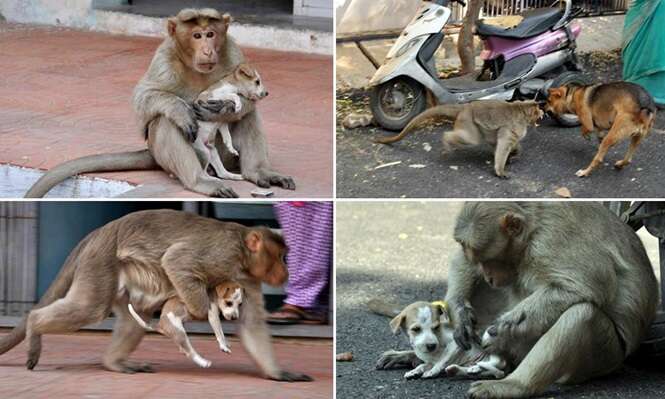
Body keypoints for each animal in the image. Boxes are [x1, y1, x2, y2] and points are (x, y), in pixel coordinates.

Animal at [0, 209, 312, 382]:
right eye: (281, 257)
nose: (286, 271)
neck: (242, 256)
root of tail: (99, 233)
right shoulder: (222, 254)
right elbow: (176, 260)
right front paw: (200, 310)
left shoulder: (248, 280)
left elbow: (251, 324)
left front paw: (277, 373)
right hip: (101, 262)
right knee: (90, 307)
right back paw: (34, 324)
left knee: (132, 316)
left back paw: (113, 362)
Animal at [24, 10, 294, 200]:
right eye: (197, 35)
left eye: (211, 34)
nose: (207, 51)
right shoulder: (165, 58)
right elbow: (146, 97)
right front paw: (191, 110)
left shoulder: (234, 51)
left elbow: (241, 111)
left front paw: (230, 110)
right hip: (181, 153)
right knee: (165, 122)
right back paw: (201, 180)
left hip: (220, 156)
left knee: (247, 118)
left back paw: (255, 172)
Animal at [370, 101, 544, 179]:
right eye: (538, 110)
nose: (542, 112)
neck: (521, 109)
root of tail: (465, 107)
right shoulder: (514, 126)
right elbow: (503, 145)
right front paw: (500, 170)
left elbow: (499, 142)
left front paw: (515, 154)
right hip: (468, 121)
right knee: (471, 140)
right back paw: (446, 140)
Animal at [376, 205, 656, 398]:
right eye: (478, 257)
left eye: (490, 259)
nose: (489, 274)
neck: (530, 236)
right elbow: (462, 263)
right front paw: (459, 314)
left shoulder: (551, 241)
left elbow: (589, 284)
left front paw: (499, 330)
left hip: (604, 358)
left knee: (582, 314)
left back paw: (514, 384)